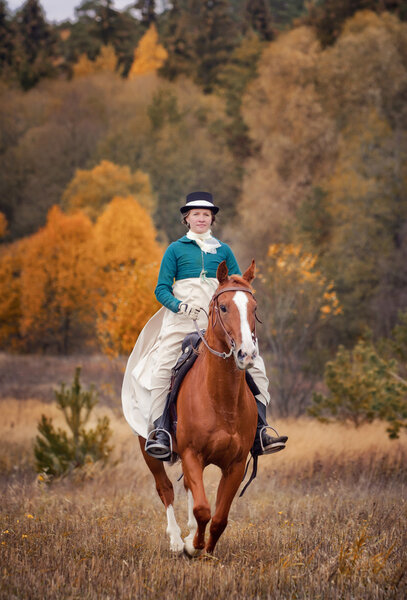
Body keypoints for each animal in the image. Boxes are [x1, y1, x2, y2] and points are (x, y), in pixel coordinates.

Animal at [139, 260, 258, 556]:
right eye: (223, 307)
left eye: (254, 308)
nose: (247, 354)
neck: (221, 400)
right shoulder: (192, 454)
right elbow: (203, 509)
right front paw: (192, 546)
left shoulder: (235, 465)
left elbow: (219, 517)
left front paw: (205, 547)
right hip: (148, 450)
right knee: (166, 489)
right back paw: (175, 540)